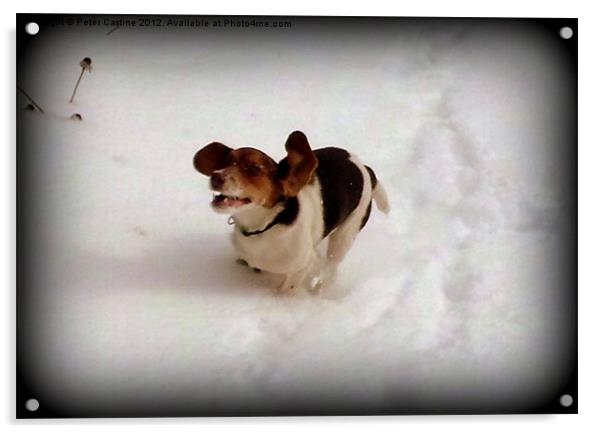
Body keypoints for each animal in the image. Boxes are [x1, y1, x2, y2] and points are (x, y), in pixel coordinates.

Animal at [192, 130, 390, 294]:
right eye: (225, 162)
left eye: (253, 169)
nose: (215, 177)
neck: (265, 227)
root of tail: (363, 166)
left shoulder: (302, 264)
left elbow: (287, 288)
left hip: (345, 235)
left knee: (331, 268)